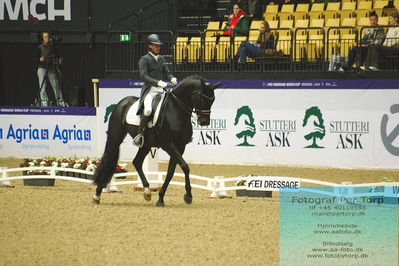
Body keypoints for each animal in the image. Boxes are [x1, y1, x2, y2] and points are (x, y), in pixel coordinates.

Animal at [93, 76, 220, 207]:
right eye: (201, 98)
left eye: (213, 100)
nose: (204, 122)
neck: (175, 110)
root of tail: (122, 102)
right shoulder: (168, 145)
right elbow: (185, 166)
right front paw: (188, 196)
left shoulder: (180, 147)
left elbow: (170, 173)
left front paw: (160, 199)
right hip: (115, 137)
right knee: (107, 159)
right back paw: (97, 195)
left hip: (146, 144)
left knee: (137, 162)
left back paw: (147, 192)